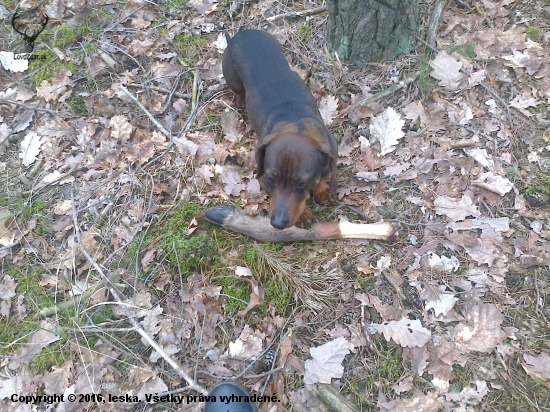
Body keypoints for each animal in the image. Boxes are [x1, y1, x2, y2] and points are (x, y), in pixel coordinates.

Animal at [222, 29, 338, 229]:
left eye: (302, 183)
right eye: (270, 180)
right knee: (237, 91)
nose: (277, 223)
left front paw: (321, 189)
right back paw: (241, 100)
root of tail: (241, 34)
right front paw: (304, 216)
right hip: (232, 78)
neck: (297, 125)